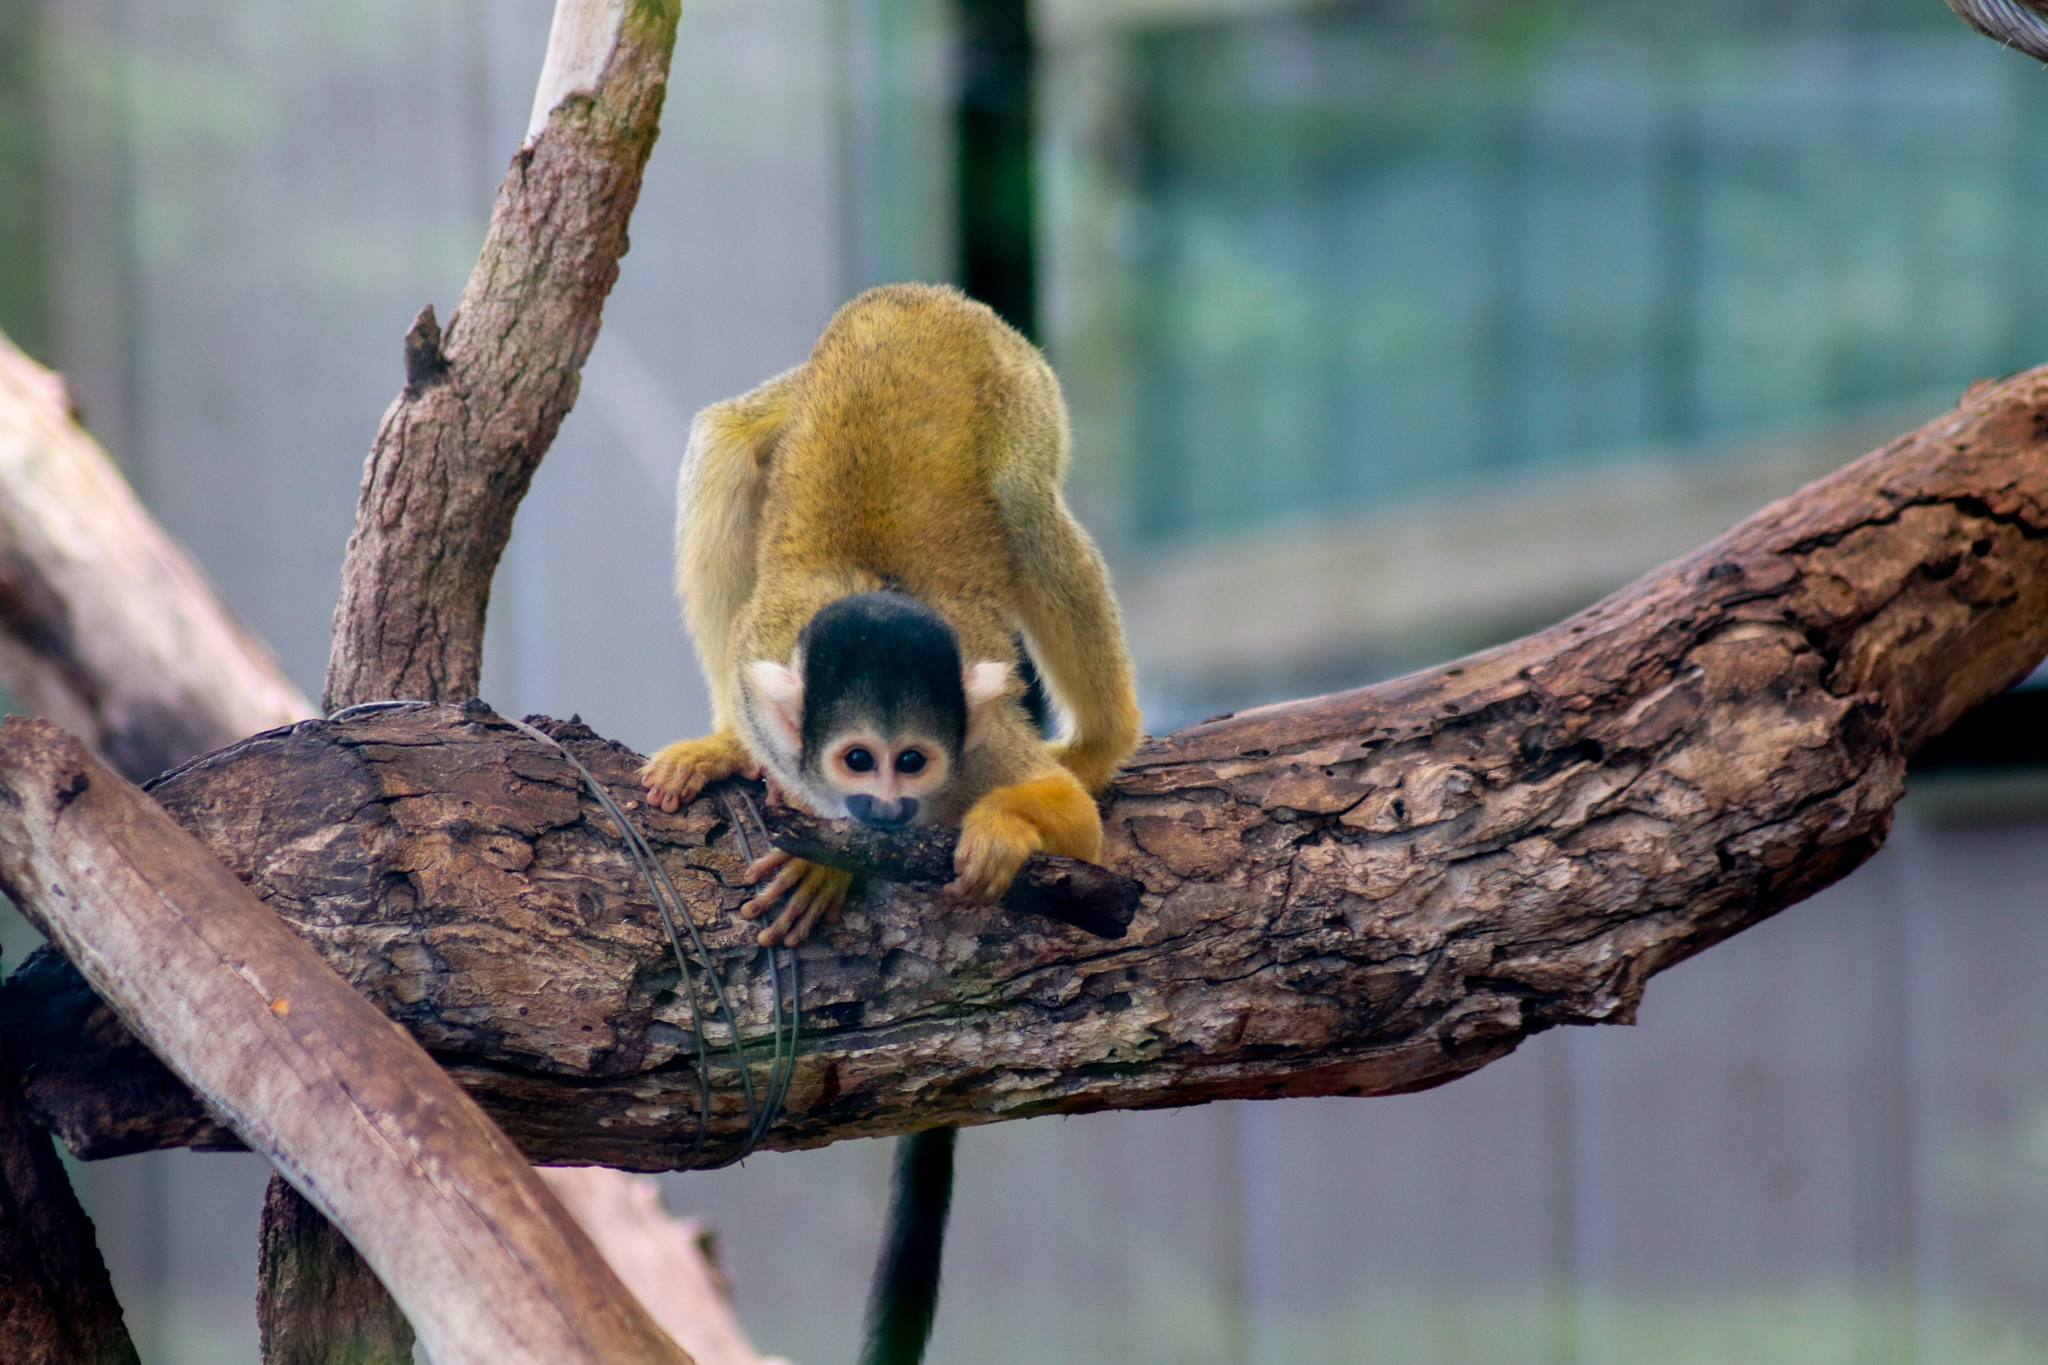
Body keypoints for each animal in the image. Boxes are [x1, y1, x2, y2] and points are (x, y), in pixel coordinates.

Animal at [639, 281, 1142, 948]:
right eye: (857, 760)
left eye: (913, 760)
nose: (884, 805)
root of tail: (918, 296)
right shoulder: (763, 705)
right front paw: (822, 850)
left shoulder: (979, 744)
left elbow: (1076, 824)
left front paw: (997, 832)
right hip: (804, 390)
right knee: (726, 438)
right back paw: (726, 746)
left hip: (1022, 385)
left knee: (1022, 501)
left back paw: (1101, 745)